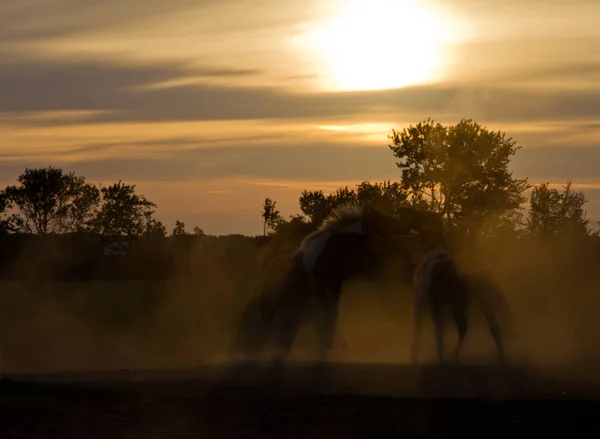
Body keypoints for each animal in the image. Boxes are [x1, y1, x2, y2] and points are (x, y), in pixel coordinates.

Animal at [410, 234, 512, 368]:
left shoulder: (432, 306)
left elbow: (435, 336)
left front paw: (437, 360)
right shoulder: (423, 306)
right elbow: (419, 333)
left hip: (462, 307)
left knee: (464, 328)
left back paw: (453, 358)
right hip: (481, 307)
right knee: (493, 330)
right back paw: (501, 359)